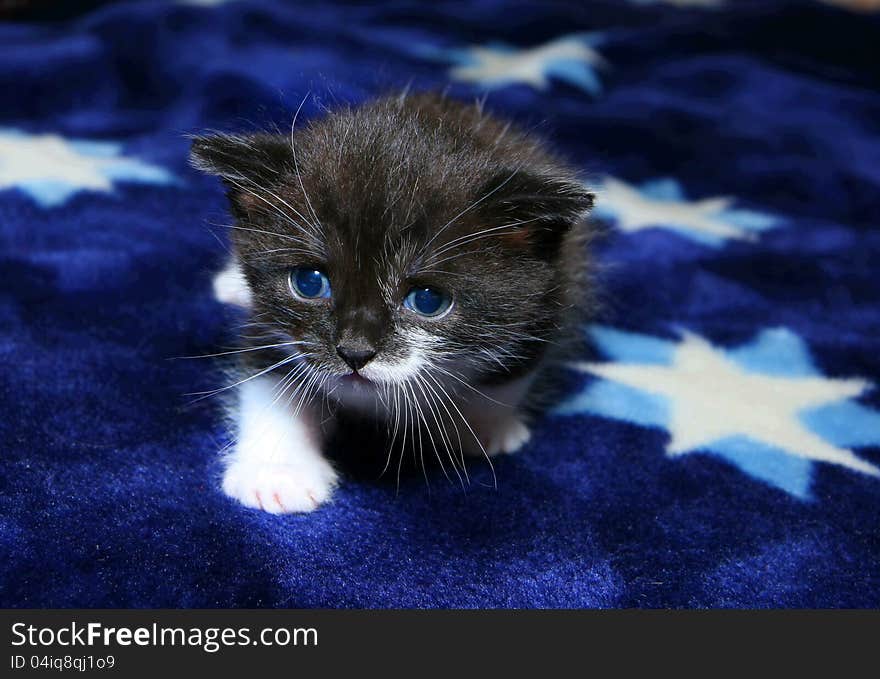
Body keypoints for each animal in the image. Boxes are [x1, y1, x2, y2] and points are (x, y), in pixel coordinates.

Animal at [191, 91, 592, 516]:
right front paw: (277, 474)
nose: (354, 352)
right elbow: (270, 380)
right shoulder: (270, 325)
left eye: (428, 301)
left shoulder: (547, 301)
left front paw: (483, 429)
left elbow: (507, 380)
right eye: (309, 282)